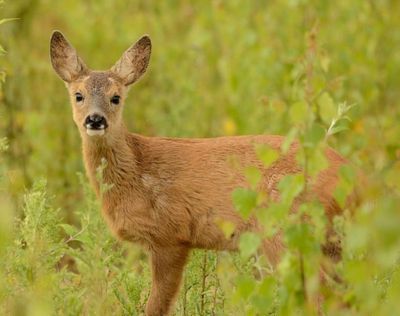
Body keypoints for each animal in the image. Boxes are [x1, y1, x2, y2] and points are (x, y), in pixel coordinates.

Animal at [50, 30, 348, 316]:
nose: (95, 119)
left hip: (287, 229)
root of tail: (351, 175)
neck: (137, 171)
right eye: (78, 95)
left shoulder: (170, 235)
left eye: (116, 97)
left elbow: (156, 306)